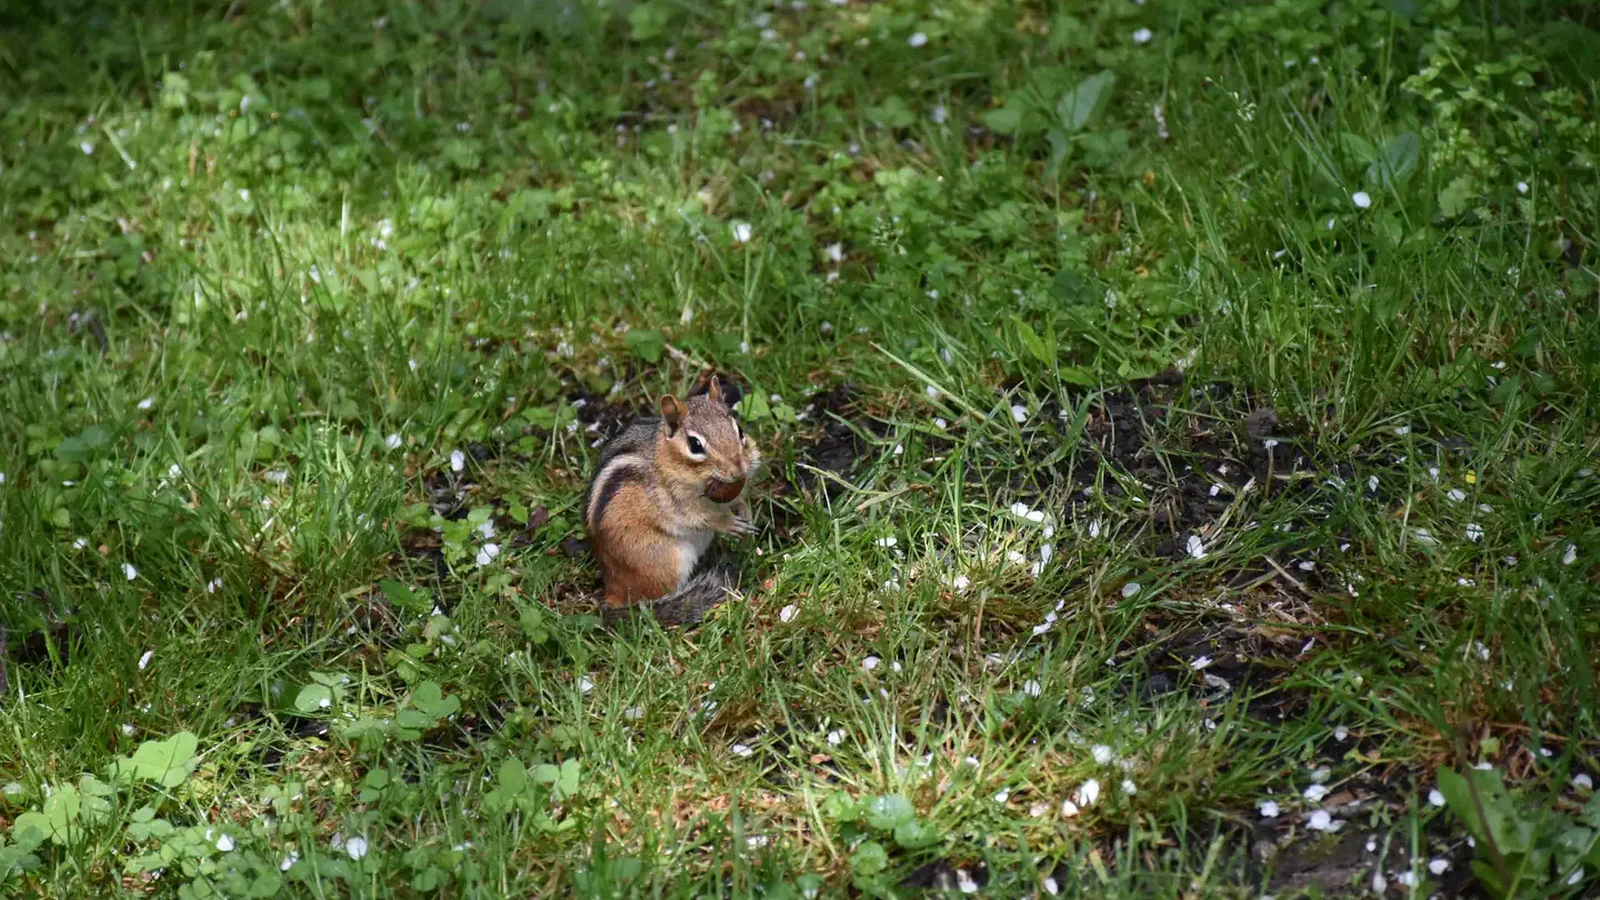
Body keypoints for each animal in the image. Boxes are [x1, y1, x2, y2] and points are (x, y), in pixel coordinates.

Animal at [584, 377, 760, 625]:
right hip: (666, 561)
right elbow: (700, 517)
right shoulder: (672, 502)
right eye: (695, 445)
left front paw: (745, 510)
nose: (739, 469)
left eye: (740, 431)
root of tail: (612, 591)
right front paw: (728, 523)